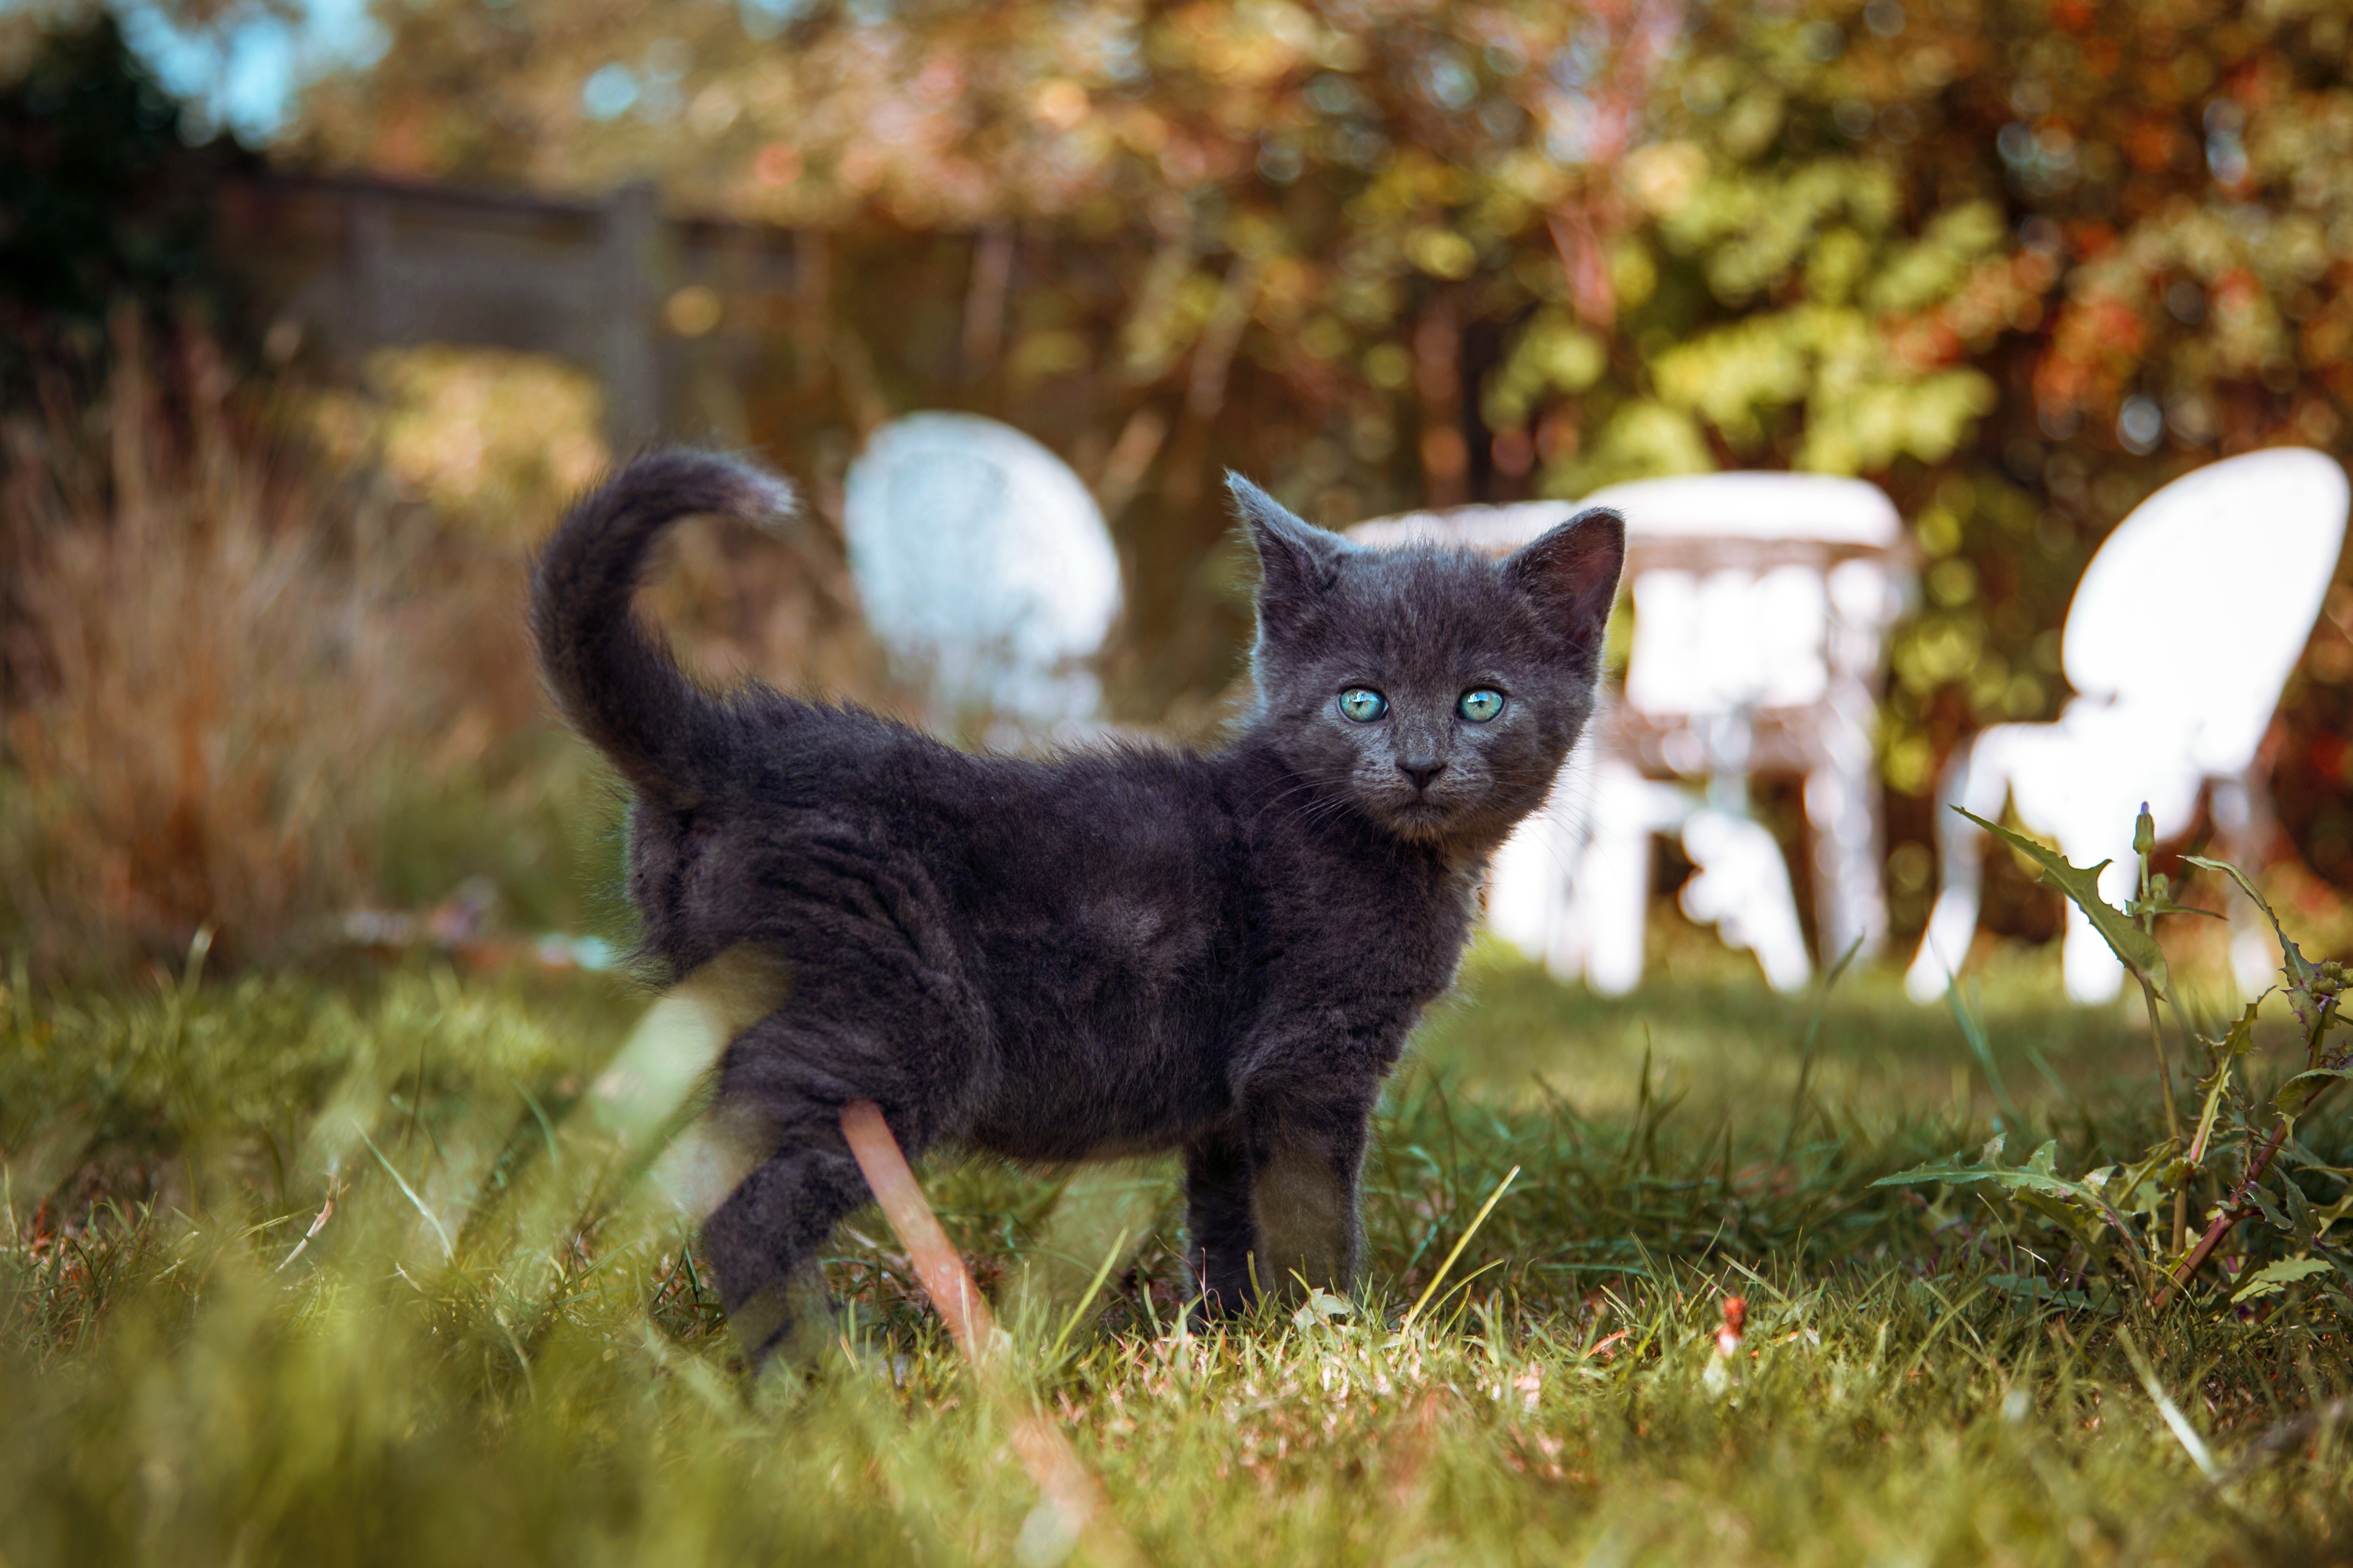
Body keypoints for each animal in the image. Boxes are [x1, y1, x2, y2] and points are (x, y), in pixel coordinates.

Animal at [529, 454, 1619, 1363]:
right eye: (1362, 701)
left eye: (1481, 700)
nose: (1422, 763)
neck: (1388, 850)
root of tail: (730, 746)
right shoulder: (1310, 1054)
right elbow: (1313, 1211)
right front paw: (1337, 1341)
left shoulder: (1234, 1091)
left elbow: (1227, 1215)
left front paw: (1232, 1340)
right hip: (890, 1014)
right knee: (746, 1197)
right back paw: (825, 1369)